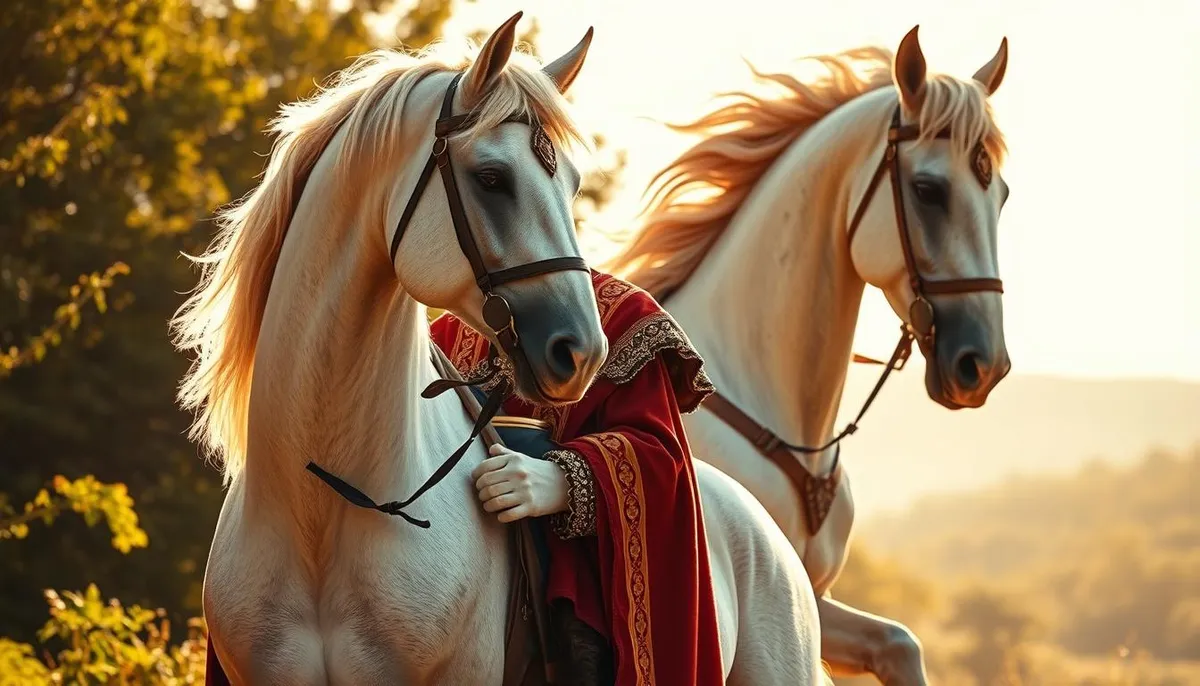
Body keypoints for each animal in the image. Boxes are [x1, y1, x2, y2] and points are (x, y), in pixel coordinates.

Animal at [172, 13, 828, 685]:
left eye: (573, 185)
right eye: (492, 179)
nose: (581, 354)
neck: (321, 510)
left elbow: (645, 442)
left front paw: (523, 484)